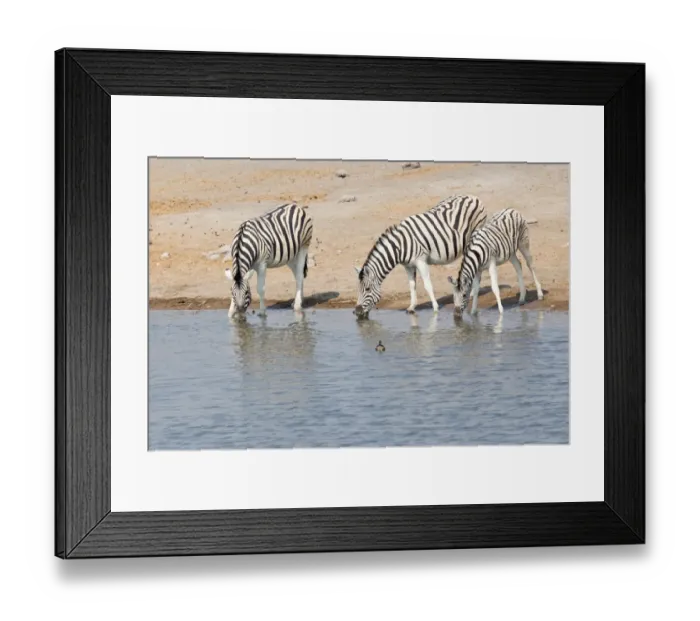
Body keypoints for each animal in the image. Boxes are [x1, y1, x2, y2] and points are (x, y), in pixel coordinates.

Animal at [353, 195, 487, 319]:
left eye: (368, 289)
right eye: (358, 289)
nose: (357, 312)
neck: (400, 247)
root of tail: (473, 197)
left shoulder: (421, 261)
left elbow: (427, 285)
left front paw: (435, 309)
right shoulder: (408, 265)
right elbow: (412, 285)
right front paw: (411, 307)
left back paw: (472, 292)